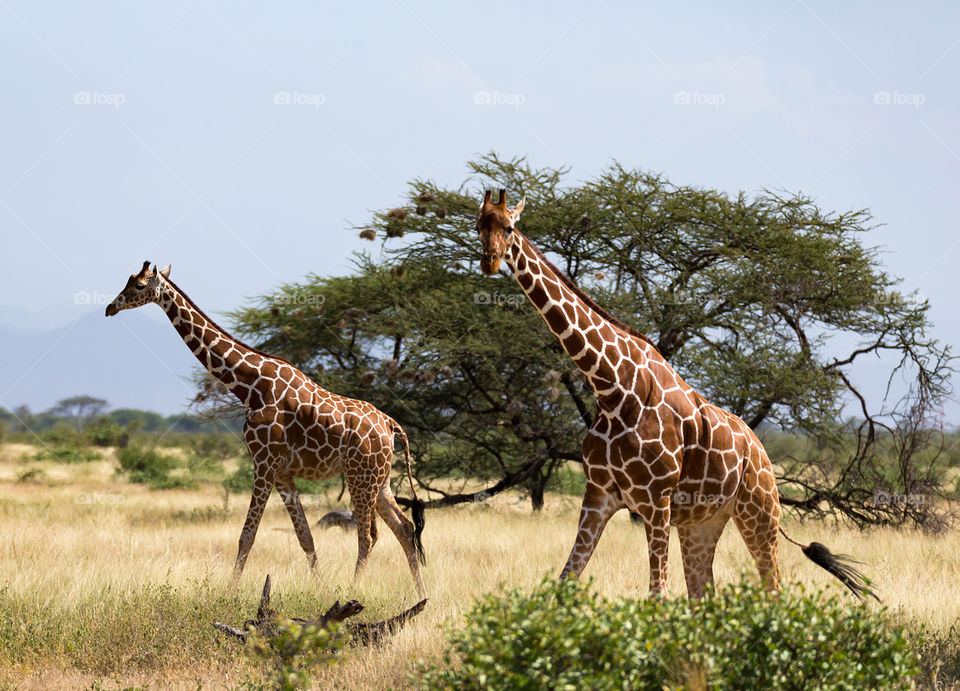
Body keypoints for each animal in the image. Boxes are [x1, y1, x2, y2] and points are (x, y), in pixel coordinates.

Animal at [102, 262, 428, 596]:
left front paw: (229, 593)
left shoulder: (263, 463)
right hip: (380, 479)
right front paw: (321, 589)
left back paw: (353, 591)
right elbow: (305, 537)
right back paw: (422, 593)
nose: (110, 307)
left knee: (368, 535)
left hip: (360, 476)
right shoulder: (282, 472)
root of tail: (392, 425)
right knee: (405, 528)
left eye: (140, 285)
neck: (250, 386)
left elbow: (247, 535)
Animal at [472, 191, 876, 600]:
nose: (490, 260)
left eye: (509, 227)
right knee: (702, 592)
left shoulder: (656, 498)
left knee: (772, 586)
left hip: (760, 512)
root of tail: (762, 451)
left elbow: (658, 594)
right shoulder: (599, 494)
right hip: (703, 522)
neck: (612, 388)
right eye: (478, 225)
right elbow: (565, 580)